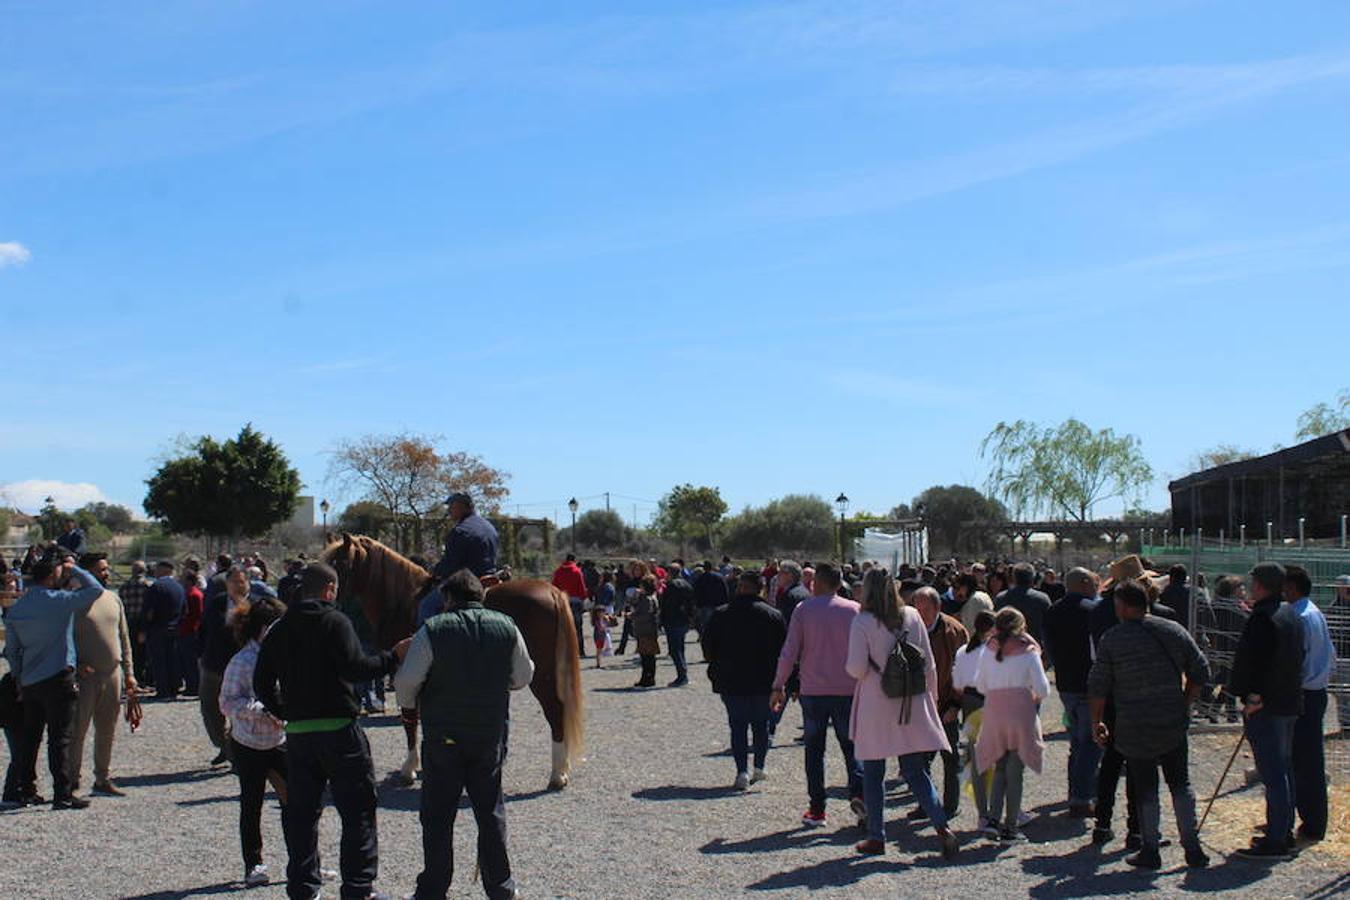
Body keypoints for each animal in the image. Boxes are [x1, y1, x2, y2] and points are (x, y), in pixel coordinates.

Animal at [326, 534, 585, 788]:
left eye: (341, 564)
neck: (402, 600)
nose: (330, 602)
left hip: (542, 675)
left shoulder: (405, 672)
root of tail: (552, 592)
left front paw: (409, 768)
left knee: (555, 711)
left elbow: (410, 719)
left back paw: (557, 774)